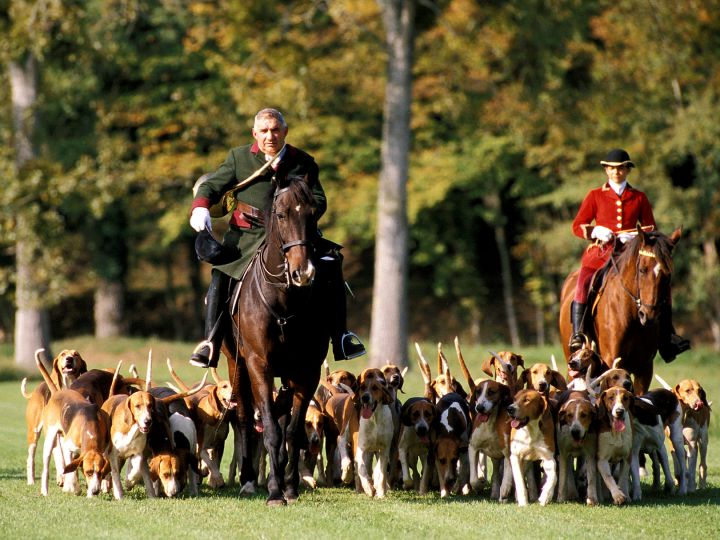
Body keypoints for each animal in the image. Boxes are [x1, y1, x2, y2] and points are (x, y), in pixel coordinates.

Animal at [222, 177, 330, 506]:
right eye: (281, 215)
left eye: (313, 213)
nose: (303, 272)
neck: (284, 300)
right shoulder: (259, 365)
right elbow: (269, 427)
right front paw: (273, 491)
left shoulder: (307, 371)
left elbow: (293, 430)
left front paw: (290, 488)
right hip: (236, 364)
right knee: (245, 417)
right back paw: (248, 480)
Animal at [560, 226, 684, 394]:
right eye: (642, 270)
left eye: (668, 274)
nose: (649, 316)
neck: (632, 317)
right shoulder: (610, 361)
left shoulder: (644, 369)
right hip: (573, 359)